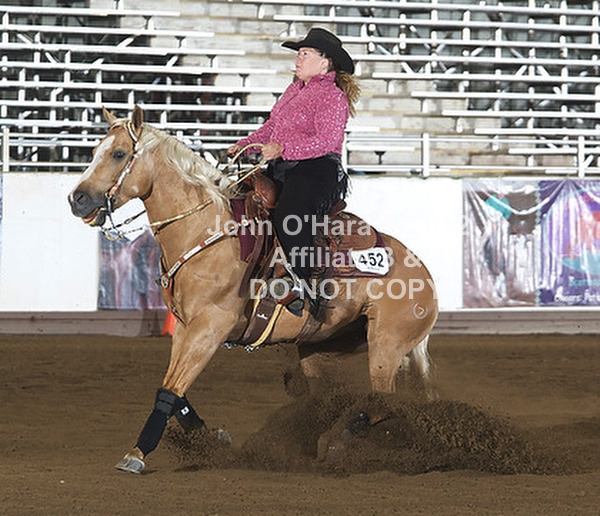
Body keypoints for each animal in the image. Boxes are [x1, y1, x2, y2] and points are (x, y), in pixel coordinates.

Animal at [68, 106, 438, 474]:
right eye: (93, 151)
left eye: (119, 154)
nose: (77, 199)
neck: (205, 230)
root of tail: (425, 275)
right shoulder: (185, 328)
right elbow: (176, 390)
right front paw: (214, 439)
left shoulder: (210, 328)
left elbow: (170, 389)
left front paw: (137, 453)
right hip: (323, 348)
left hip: (385, 346)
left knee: (384, 403)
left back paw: (339, 441)